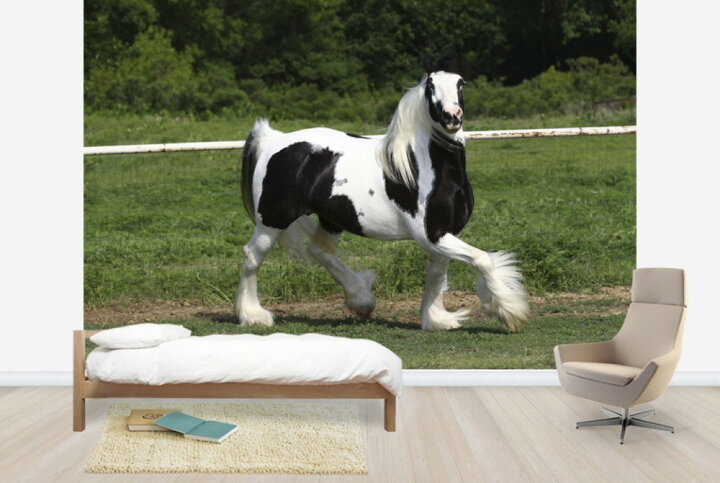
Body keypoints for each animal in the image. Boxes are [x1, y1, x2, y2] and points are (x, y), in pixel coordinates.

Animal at [235, 70, 529, 331]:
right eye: (431, 86)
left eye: (460, 84)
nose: (452, 117)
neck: (424, 168)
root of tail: (274, 140)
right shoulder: (431, 234)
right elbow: (482, 260)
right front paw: (510, 312)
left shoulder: (445, 233)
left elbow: (437, 275)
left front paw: (437, 320)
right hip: (273, 220)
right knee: (252, 256)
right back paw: (253, 316)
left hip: (331, 219)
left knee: (319, 252)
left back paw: (362, 300)